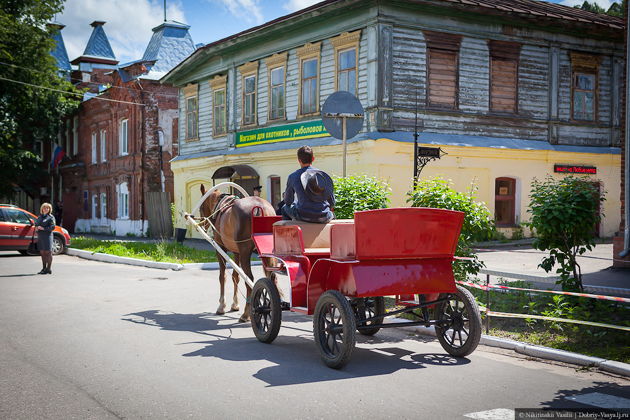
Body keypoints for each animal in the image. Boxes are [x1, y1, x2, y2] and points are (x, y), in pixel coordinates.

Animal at [199, 182, 276, 324]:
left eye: (201, 206)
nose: (203, 225)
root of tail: (260, 208)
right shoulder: (236, 252)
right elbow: (236, 276)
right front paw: (234, 304)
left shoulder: (221, 249)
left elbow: (222, 276)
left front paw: (221, 306)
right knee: (270, 277)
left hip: (245, 252)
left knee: (249, 279)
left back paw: (246, 314)